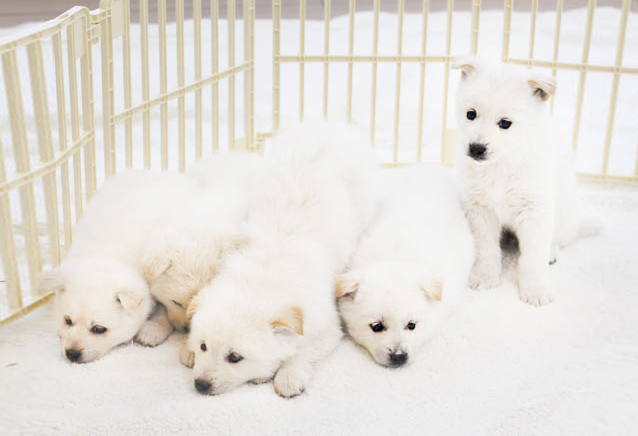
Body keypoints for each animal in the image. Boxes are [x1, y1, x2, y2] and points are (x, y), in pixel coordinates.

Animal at [40, 170, 199, 363]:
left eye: (99, 329)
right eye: (68, 320)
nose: (72, 353)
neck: (107, 255)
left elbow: (164, 308)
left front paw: (151, 331)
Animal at [187, 121, 377, 397]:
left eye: (235, 357)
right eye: (203, 346)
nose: (200, 385)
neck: (263, 275)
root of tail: (331, 124)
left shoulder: (328, 327)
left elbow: (304, 351)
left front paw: (288, 377)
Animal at [452, 57, 595, 306]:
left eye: (505, 123)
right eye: (471, 114)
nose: (476, 148)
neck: (501, 165)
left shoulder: (534, 212)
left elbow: (532, 259)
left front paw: (535, 291)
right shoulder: (480, 211)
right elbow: (487, 249)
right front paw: (485, 278)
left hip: (561, 218)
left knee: (557, 241)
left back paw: (551, 253)